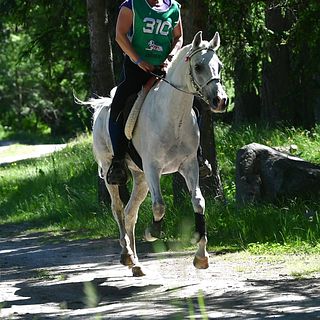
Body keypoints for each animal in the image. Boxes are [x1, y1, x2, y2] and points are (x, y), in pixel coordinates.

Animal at [89, 31, 228, 276]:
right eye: (198, 66)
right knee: (118, 209)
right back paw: (127, 254)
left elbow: (199, 202)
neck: (174, 116)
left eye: (219, 66)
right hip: (110, 168)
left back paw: (136, 264)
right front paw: (152, 232)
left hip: (141, 177)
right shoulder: (153, 167)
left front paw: (201, 256)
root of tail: (103, 106)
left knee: (130, 212)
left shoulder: (189, 165)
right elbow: (159, 205)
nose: (220, 101)